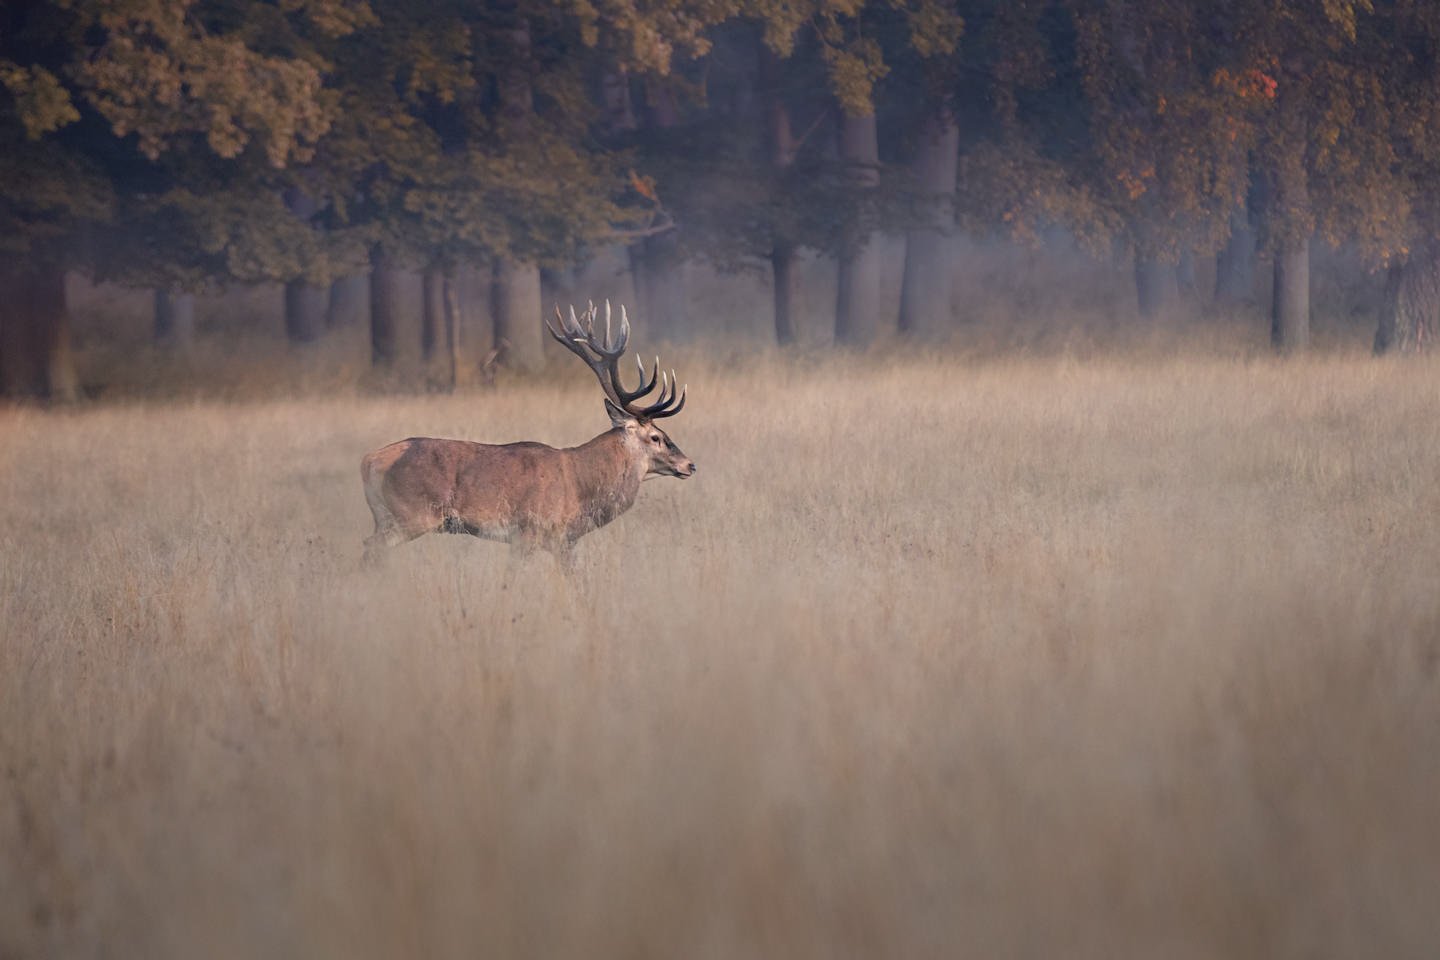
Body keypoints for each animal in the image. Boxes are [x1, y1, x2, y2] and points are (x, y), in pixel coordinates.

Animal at [360, 301, 695, 568]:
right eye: (656, 436)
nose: (689, 464)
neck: (581, 490)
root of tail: (370, 461)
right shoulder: (529, 532)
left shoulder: (564, 542)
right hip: (411, 514)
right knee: (370, 548)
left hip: (387, 516)